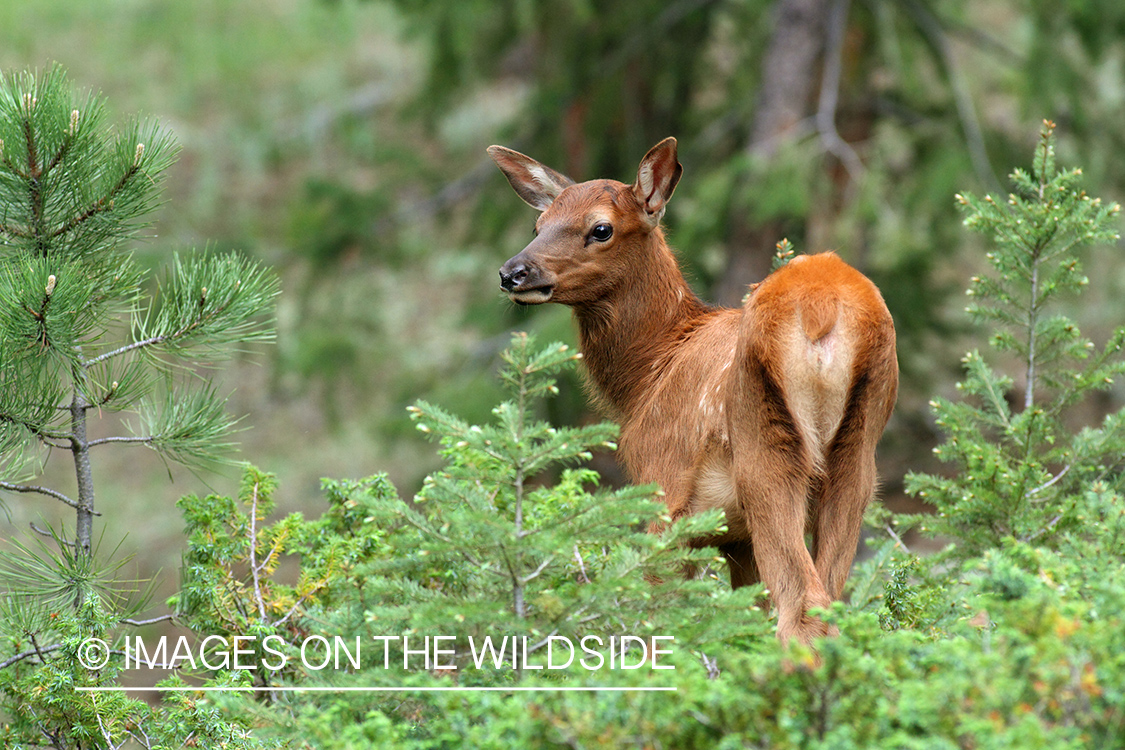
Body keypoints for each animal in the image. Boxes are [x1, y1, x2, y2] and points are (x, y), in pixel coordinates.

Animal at [490, 137, 895, 643]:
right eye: (538, 224)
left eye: (601, 229)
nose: (513, 272)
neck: (647, 375)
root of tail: (821, 308)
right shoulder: (736, 539)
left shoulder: (663, 481)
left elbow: (658, 611)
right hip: (858, 453)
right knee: (832, 598)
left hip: (764, 445)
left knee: (803, 605)